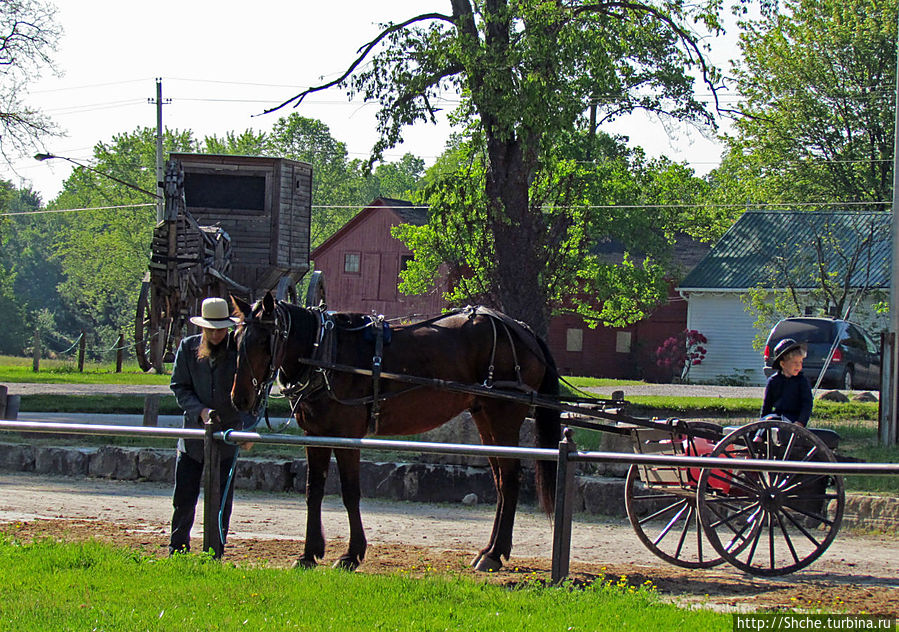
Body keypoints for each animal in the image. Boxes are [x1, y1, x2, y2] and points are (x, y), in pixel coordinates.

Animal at [229, 292, 560, 572]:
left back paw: (495, 554)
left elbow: (350, 492)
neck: (324, 350)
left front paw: (352, 554)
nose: (239, 399)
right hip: (484, 419)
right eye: (235, 338)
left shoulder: (346, 435)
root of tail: (522, 331)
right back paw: (490, 550)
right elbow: (313, 491)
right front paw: (309, 553)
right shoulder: (315, 435)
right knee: (501, 482)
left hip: (503, 417)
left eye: (264, 340)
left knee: (511, 480)